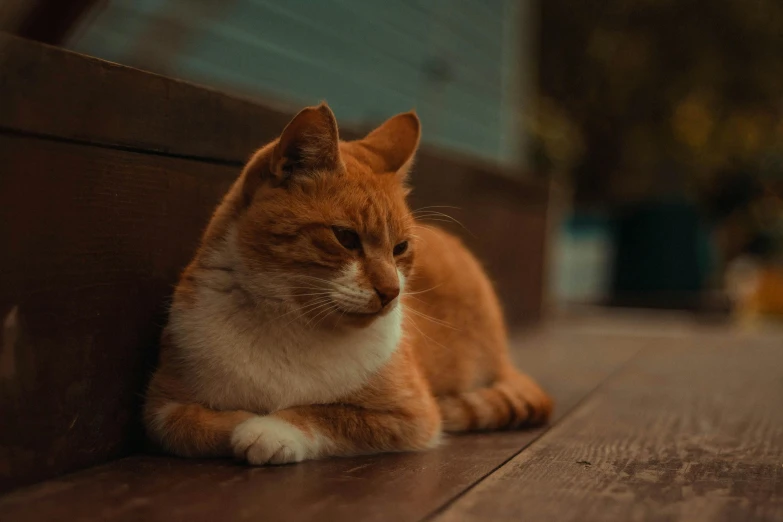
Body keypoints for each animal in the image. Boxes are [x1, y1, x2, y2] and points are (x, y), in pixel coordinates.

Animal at [144, 103, 556, 462]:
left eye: (400, 247)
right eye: (345, 238)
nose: (391, 292)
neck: (291, 321)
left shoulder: (413, 415)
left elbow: (328, 413)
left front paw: (270, 429)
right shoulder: (161, 405)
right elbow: (188, 425)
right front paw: (244, 421)